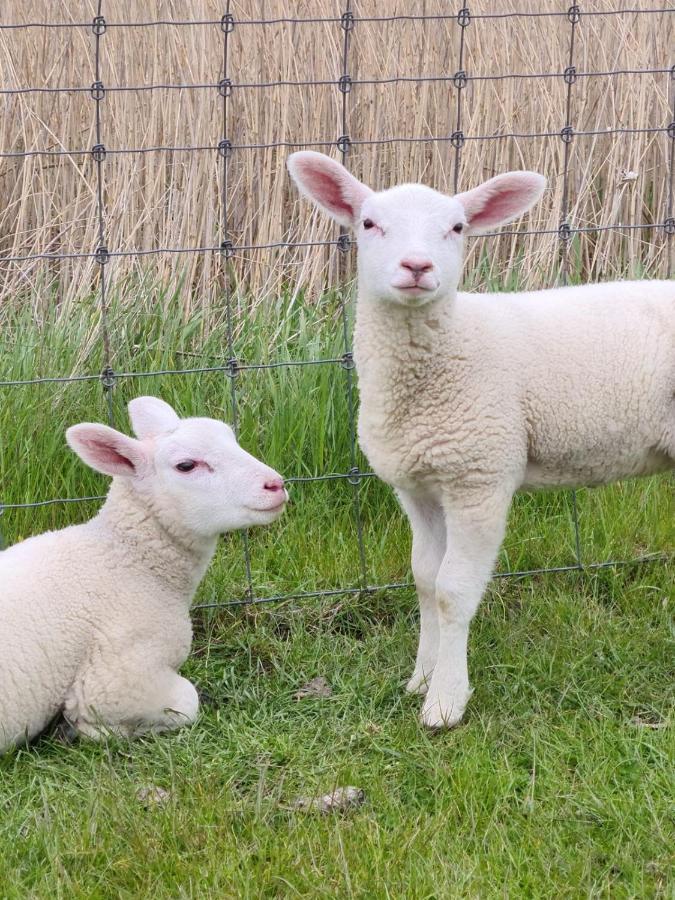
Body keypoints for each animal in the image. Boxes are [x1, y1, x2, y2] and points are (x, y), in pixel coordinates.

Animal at [0, 396, 288, 752]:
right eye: (186, 466)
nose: (275, 485)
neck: (127, 559)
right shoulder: (111, 679)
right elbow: (187, 702)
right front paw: (93, 729)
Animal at [288, 153, 675, 732]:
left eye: (457, 228)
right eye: (369, 223)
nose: (417, 267)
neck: (449, 349)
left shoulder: (479, 477)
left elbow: (453, 591)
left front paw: (445, 702)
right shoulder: (420, 487)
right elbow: (425, 579)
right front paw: (420, 678)